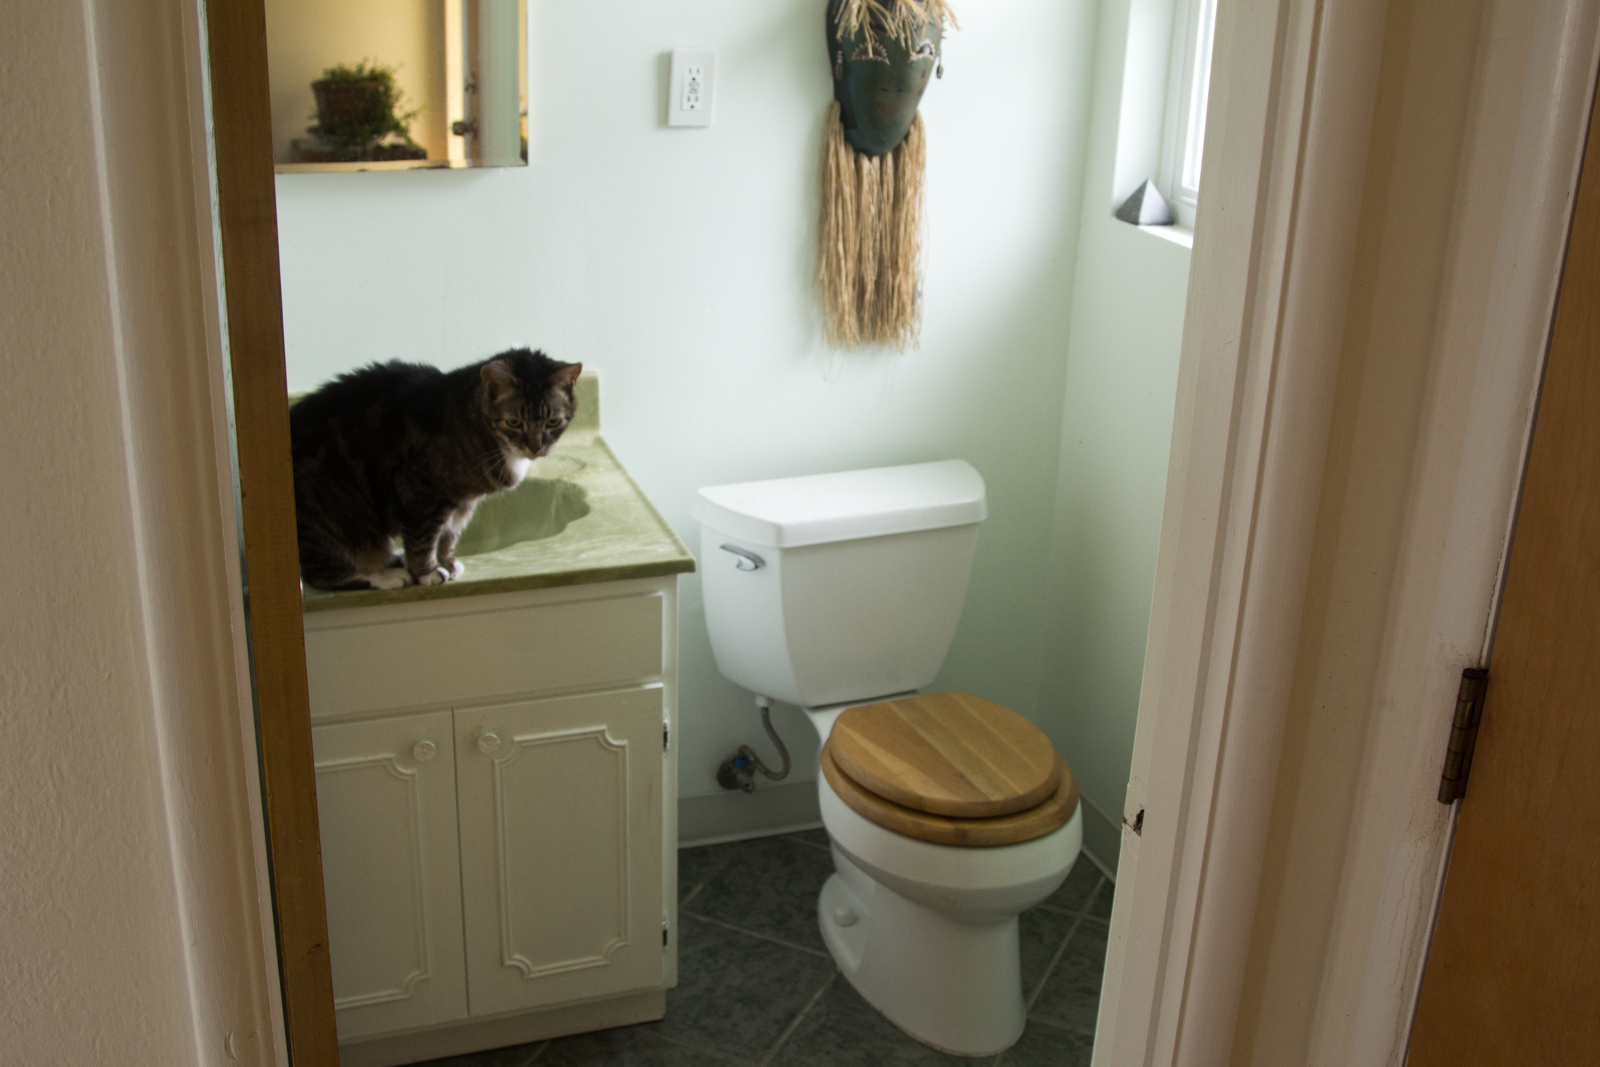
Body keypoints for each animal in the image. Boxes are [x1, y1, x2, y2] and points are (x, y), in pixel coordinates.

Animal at [290, 348, 582, 591]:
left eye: (553, 421)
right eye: (514, 422)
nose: (535, 447)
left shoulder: (463, 503)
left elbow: (448, 535)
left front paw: (448, 564)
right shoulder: (421, 491)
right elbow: (423, 538)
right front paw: (427, 572)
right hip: (338, 523)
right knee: (322, 574)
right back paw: (384, 576)